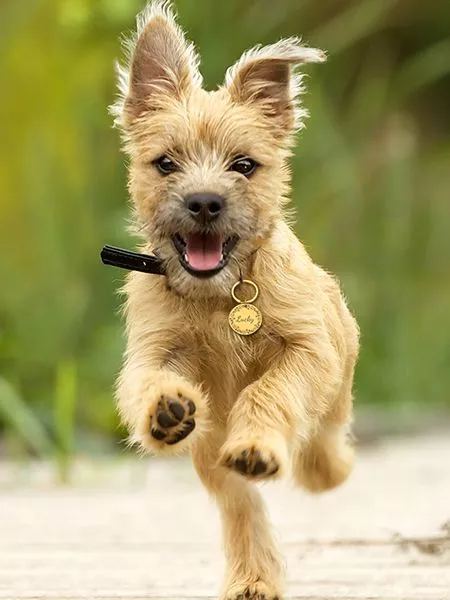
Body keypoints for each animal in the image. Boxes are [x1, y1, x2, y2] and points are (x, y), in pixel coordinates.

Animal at [110, 2, 360, 596]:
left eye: (244, 165)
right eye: (166, 163)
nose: (205, 202)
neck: (221, 295)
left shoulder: (309, 350)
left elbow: (269, 390)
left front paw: (261, 439)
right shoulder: (154, 350)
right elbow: (145, 382)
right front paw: (166, 408)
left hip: (337, 386)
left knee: (322, 444)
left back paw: (312, 464)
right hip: (209, 454)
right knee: (241, 504)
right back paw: (253, 575)